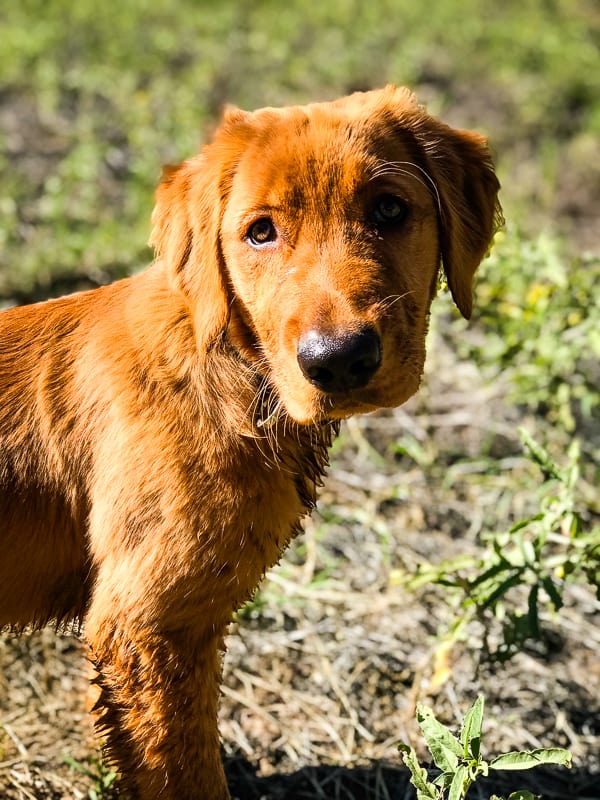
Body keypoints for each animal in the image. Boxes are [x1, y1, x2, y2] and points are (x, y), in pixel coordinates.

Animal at [0, 84, 502, 796]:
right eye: (260, 232)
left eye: (389, 209)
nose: (337, 360)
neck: (236, 369)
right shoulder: (151, 626)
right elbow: (185, 770)